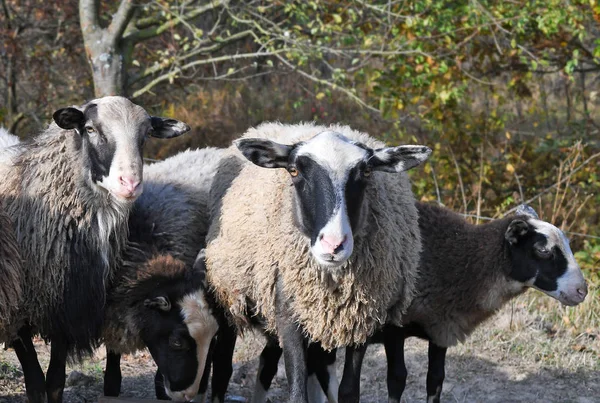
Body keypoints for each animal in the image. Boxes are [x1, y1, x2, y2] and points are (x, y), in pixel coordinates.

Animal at [0, 98, 190, 403]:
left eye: (146, 134)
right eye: (90, 129)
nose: (130, 183)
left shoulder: (65, 305)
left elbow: (55, 381)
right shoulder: (17, 310)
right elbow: (36, 384)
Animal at [206, 122, 432, 403]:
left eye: (367, 171)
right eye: (293, 170)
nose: (333, 245)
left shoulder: (361, 318)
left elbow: (348, 391)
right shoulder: (288, 315)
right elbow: (296, 393)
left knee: (279, 362)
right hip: (228, 296)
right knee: (223, 367)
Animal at [290, 205, 584, 403]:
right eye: (543, 250)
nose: (582, 290)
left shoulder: (442, 325)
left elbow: (436, 380)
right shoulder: (395, 327)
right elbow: (397, 378)